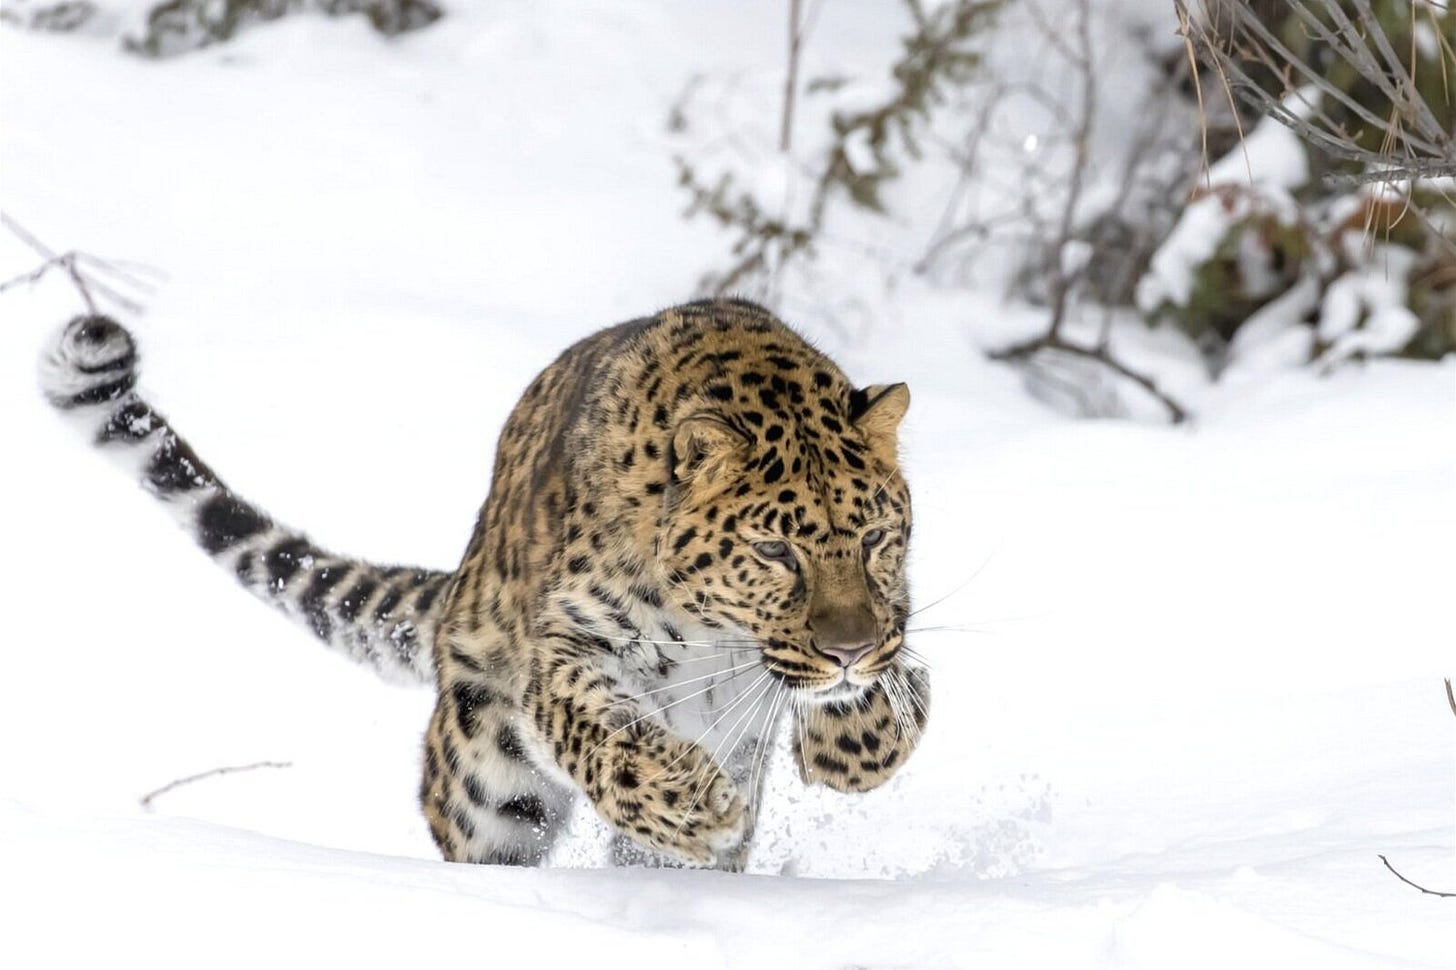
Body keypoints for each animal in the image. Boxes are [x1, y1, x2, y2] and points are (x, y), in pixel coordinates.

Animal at [40, 297, 929, 870]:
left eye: (875, 538)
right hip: (485, 779)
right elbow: (601, 728)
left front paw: (857, 742)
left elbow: (900, 679)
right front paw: (684, 796)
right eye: (775, 552)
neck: (718, 635)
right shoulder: (565, 646)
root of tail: (460, 589)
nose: (846, 652)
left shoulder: (883, 617)